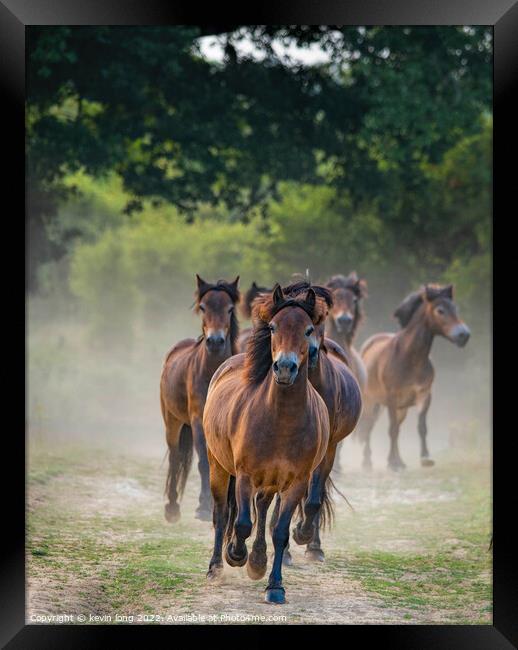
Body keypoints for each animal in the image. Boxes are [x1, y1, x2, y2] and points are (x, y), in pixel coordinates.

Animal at [161, 274, 241, 520]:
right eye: (203, 307)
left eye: (230, 308)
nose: (215, 342)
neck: (212, 371)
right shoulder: (198, 420)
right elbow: (204, 462)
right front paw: (204, 506)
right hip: (172, 420)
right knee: (175, 456)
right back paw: (172, 507)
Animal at [203, 284, 330, 604]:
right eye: (273, 327)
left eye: (309, 330)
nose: (284, 368)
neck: (282, 420)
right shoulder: (245, 475)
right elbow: (242, 523)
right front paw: (235, 554)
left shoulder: (296, 483)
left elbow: (280, 531)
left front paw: (274, 586)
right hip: (218, 466)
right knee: (222, 513)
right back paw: (217, 566)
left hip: (271, 481)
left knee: (262, 510)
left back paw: (258, 561)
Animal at [360, 284, 474, 470]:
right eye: (440, 310)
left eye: (455, 308)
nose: (463, 335)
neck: (410, 358)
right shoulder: (391, 398)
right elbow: (392, 429)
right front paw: (393, 464)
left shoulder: (424, 396)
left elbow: (421, 427)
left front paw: (425, 458)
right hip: (371, 402)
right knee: (368, 427)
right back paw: (367, 462)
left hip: (401, 409)